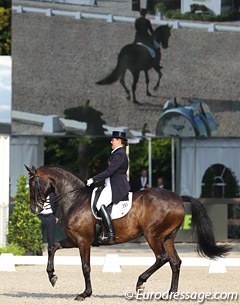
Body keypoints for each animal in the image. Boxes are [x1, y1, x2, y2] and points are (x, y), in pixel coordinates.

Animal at [25, 164, 231, 300]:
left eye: (33, 184)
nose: (34, 210)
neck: (75, 199)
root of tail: (179, 198)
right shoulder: (73, 239)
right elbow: (52, 247)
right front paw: (52, 276)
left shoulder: (83, 240)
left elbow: (85, 267)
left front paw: (85, 293)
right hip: (167, 237)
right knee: (175, 262)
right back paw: (170, 294)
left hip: (152, 235)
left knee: (162, 258)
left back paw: (140, 282)